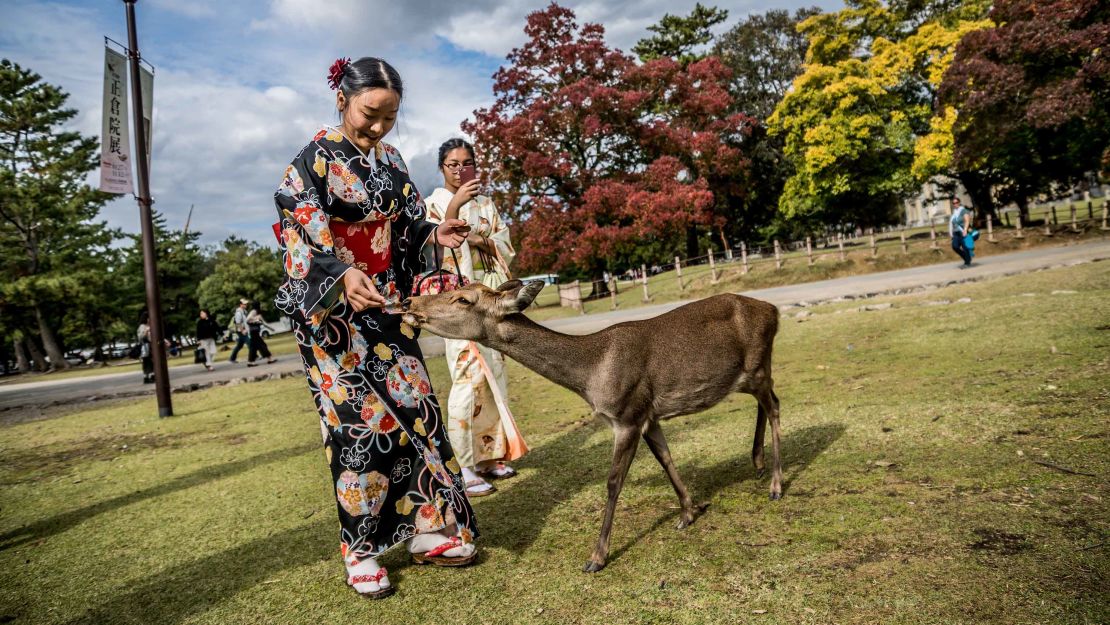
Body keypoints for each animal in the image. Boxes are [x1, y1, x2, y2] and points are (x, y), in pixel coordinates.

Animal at [401, 280, 781, 572]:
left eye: (463, 298)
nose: (408, 301)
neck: (591, 377)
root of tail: (774, 311)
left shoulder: (626, 414)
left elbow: (613, 483)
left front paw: (596, 557)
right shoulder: (648, 414)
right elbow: (666, 458)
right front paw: (689, 511)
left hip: (758, 364)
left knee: (775, 405)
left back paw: (776, 484)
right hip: (748, 375)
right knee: (766, 402)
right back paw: (758, 463)